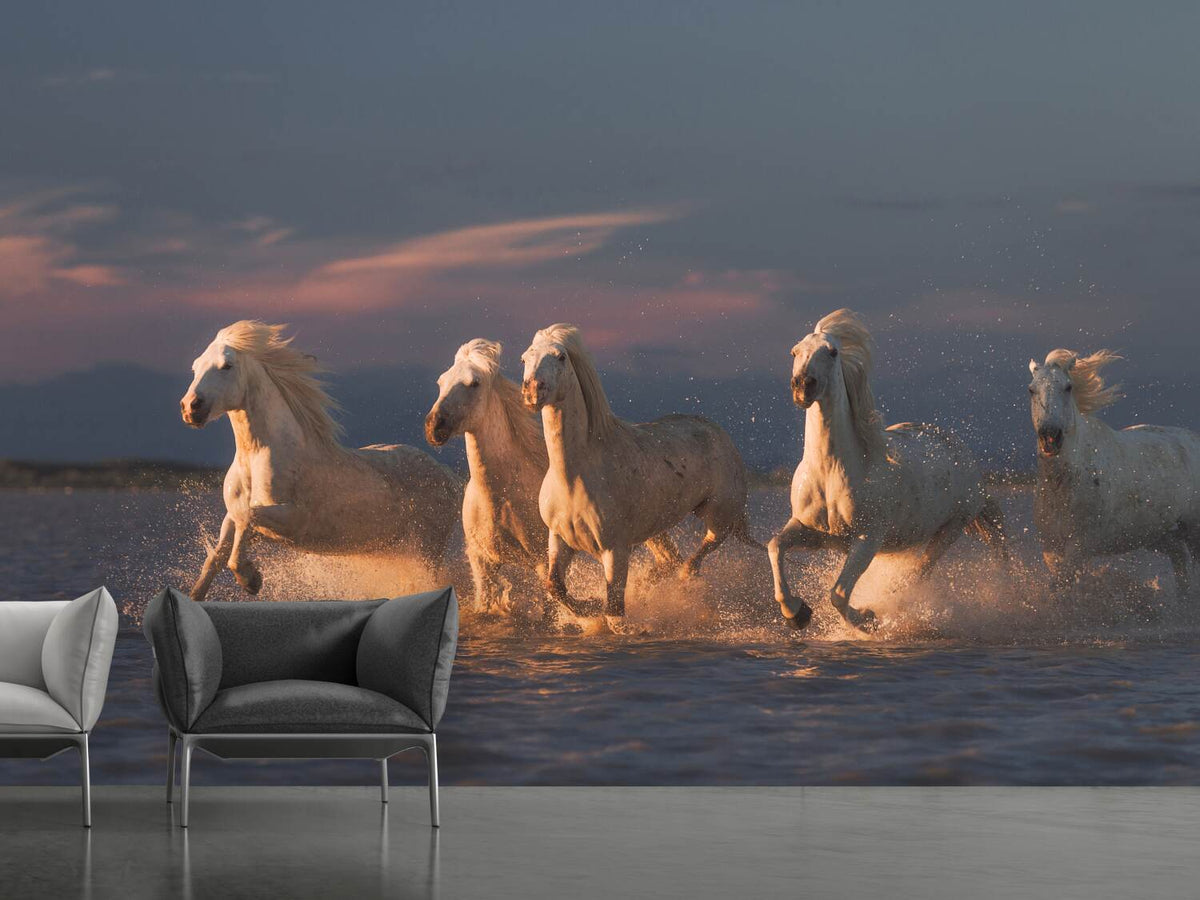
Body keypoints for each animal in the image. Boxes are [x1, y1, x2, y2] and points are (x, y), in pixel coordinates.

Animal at [181, 320, 462, 601]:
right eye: (195, 366)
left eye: (227, 365)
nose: (190, 407)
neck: (257, 458)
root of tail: (447, 475)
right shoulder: (233, 516)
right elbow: (218, 554)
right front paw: (196, 595)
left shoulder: (293, 521)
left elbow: (248, 519)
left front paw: (251, 580)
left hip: (426, 547)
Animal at [520, 324, 759, 628]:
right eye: (525, 358)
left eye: (560, 357)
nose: (532, 391)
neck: (574, 476)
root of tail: (719, 433)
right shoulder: (560, 539)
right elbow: (556, 587)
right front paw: (589, 607)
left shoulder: (615, 549)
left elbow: (615, 614)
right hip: (655, 529)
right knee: (669, 561)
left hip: (719, 513)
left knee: (705, 546)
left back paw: (684, 576)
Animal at [768, 309, 1007, 631]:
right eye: (794, 351)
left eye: (832, 352)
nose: (803, 386)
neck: (831, 472)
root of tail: (963, 454)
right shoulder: (811, 531)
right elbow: (775, 545)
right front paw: (796, 613)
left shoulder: (867, 538)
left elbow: (838, 594)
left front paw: (868, 619)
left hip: (951, 528)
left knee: (917, 573)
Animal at [1029, 349, 1200, 596]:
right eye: (1031, 389)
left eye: (1068, 387)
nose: (1050, 437)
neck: (1063, 485)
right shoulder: (1051, 549)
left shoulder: (1079, 547)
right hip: (1161, 537)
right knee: (1180, 566)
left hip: (1193, 533)